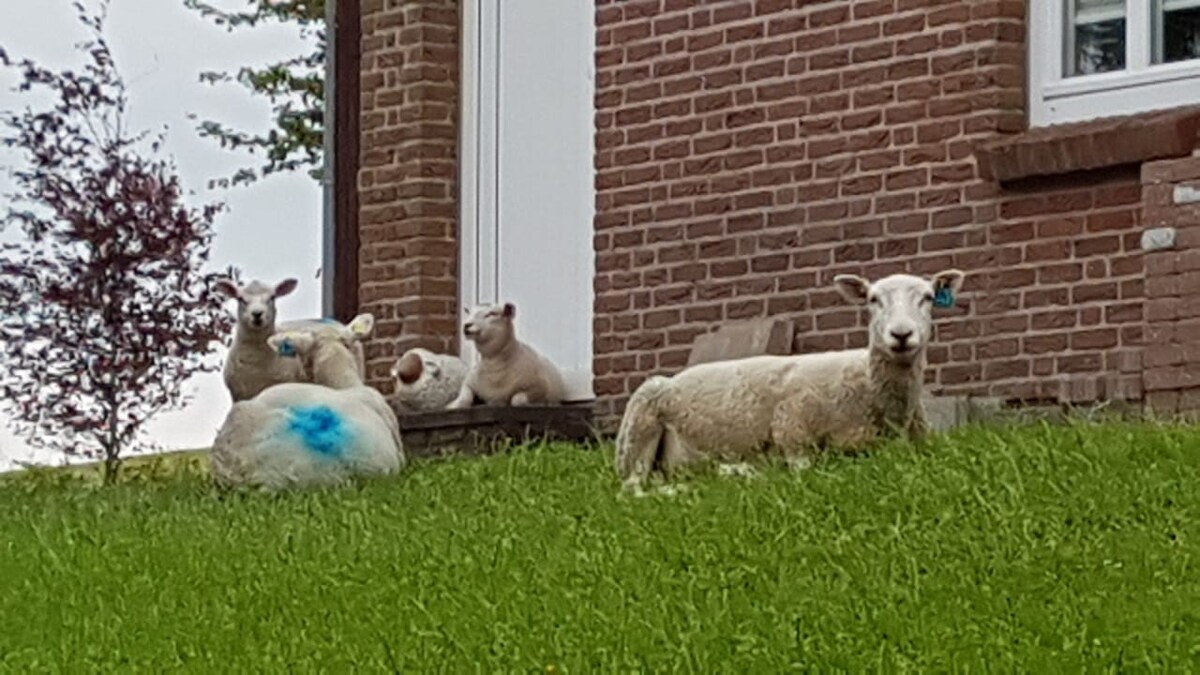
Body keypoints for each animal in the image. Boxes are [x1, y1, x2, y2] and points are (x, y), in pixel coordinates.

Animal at [614, 265, 969, 492]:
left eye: (927, 297)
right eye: (872, 299)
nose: (901, 335)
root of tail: (675, 377)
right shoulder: (793, 436)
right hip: (638, 431)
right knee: (633, 489)